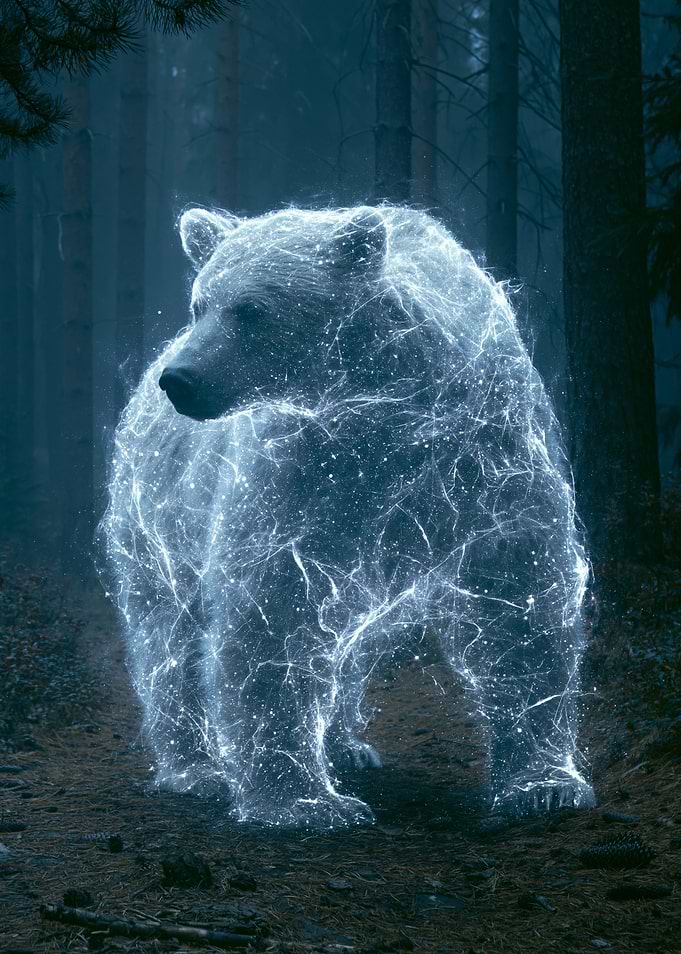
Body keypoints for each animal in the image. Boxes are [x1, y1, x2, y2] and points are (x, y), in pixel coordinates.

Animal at [101, 204, 597, 829]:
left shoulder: (484, 457)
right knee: (170, 641)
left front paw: (545, 785)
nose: (182, 378)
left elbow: (518, 600)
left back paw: (344, 745)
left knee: (344, 645)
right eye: (199, 303)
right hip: (160, 519)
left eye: (251, 310)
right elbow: (273, 612)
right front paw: (306, 802)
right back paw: (197, 770)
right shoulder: (301, 473)